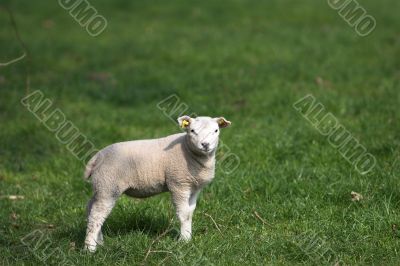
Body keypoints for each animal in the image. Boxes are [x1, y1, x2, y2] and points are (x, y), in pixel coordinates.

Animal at [83, 114, 231, 251]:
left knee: (91, 208)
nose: (205, 145)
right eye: (192, 130)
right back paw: (90, 249)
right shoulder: (178, 184)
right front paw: (183, 241)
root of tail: (96, 157)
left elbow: (190, 213)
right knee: (97, 215)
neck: (188, 151)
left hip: (100, 186)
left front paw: (188, 238)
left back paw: (99, 242)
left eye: (216, 130)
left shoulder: (194, 188)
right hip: (108, 185)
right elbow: (183, 214)